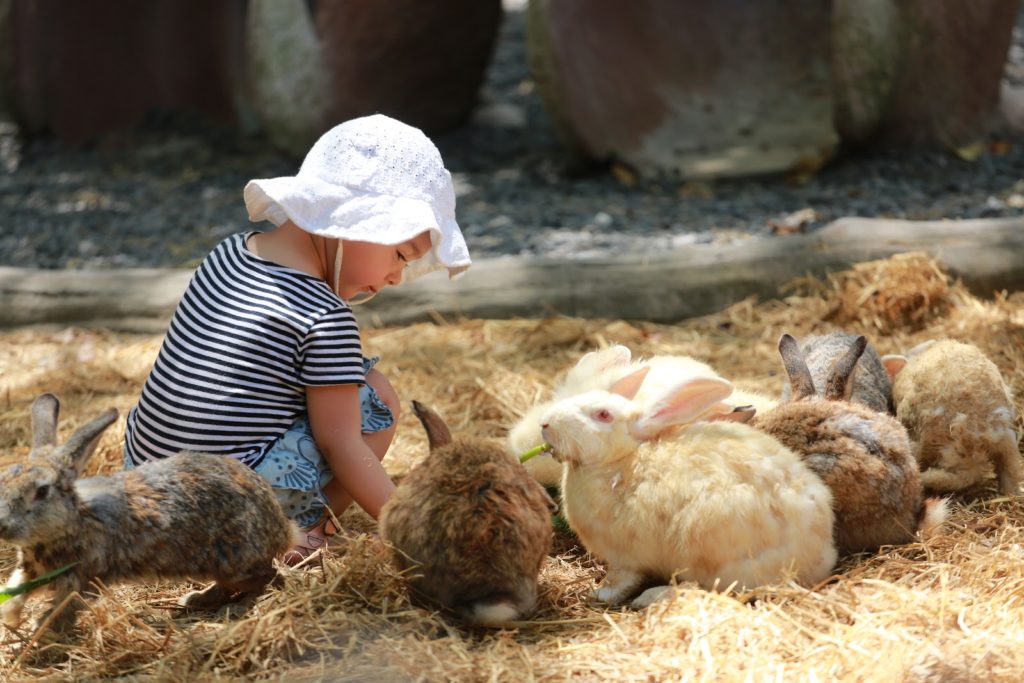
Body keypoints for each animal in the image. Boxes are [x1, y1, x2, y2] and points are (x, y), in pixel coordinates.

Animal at [0, 395, 299, 634]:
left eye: (42, 491)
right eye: (4, 479)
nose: (2, 525)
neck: (76, 521)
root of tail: (282, 528)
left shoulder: (79, 581)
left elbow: (58, 614)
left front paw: (36, 638)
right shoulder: (32, 571)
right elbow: (16, 592)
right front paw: (11, 619)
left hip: (234, 563)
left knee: (268, 577)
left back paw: (236, 607)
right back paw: (196, 599)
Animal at [540, 366, 835, 606]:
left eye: (602, 415)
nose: (546, 423)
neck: (619, 460)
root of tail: (817, 557)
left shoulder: (625, 558)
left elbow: (621, 580)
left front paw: (599, 594)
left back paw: (651, 597)